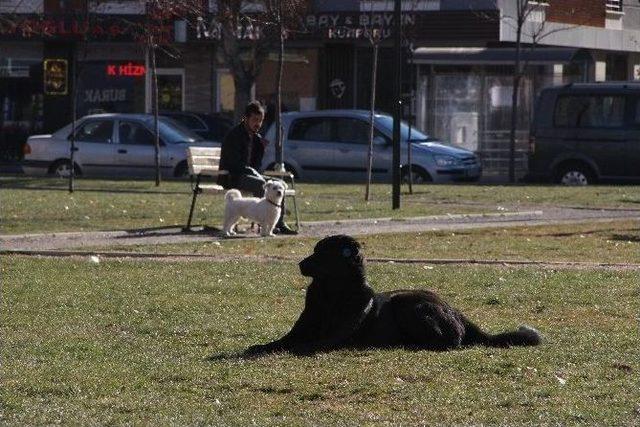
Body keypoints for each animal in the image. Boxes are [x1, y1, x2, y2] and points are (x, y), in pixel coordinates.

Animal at [245, 236, 540, 356]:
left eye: (321, 253)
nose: (300, 264)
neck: (332, 293)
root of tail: (456, 311)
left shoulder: (335, 336)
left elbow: (306, 344)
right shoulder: (302, 328)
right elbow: (281, 341)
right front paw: (261, 347)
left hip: (407, 303)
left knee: (450, 341)